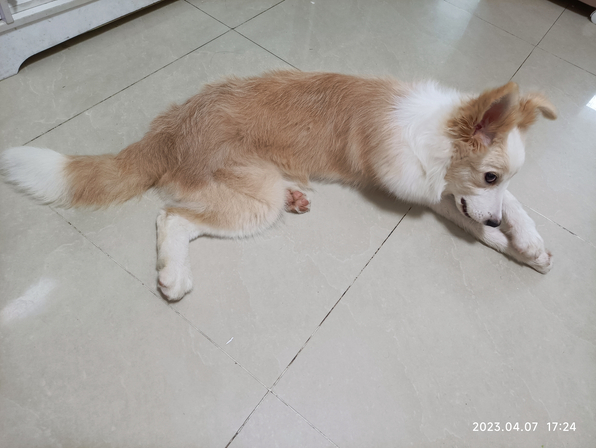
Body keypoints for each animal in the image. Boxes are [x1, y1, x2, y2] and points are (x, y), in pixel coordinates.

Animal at [1, 71, 556, 300]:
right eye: (488, 174)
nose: (492, 216)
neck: (434, 134)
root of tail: (168, 131)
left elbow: (516, 205)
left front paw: (529, 241)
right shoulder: (418, 188)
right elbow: (472, 224)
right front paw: (508, 241)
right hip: (252, 201)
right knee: (172, 216)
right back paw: (174, 277)